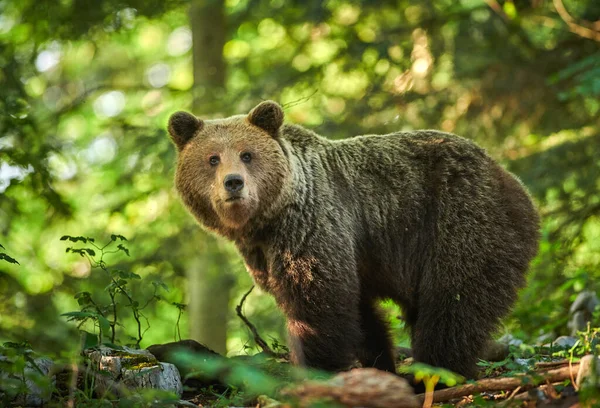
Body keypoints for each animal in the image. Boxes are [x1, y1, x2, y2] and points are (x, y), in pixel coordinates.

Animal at [166, 100, 540, 380]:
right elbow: (360, 311)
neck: (268, 220)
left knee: (453, 300)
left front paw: (320, 367)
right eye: (212, 158)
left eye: (247, 154)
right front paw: (378, 363)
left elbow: (318, 303)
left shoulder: (312, 225)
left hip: (459, 219)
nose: (233, 182)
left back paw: (436, 370)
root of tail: (511, 179)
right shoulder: (266, 252)